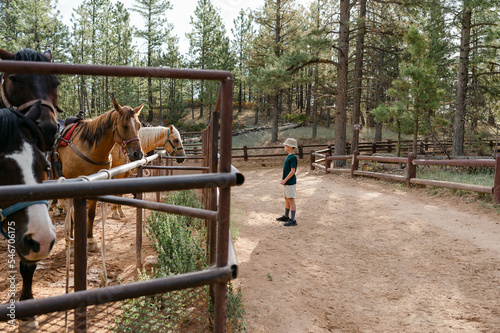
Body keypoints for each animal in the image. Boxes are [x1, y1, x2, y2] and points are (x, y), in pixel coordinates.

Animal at [54, 97, 144, 250]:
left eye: (138, 126)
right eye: (124, 126)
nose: (138, 154)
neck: (90, 149)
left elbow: (91, 213)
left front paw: (90, 240)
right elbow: (73, 215)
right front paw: (70, 244)